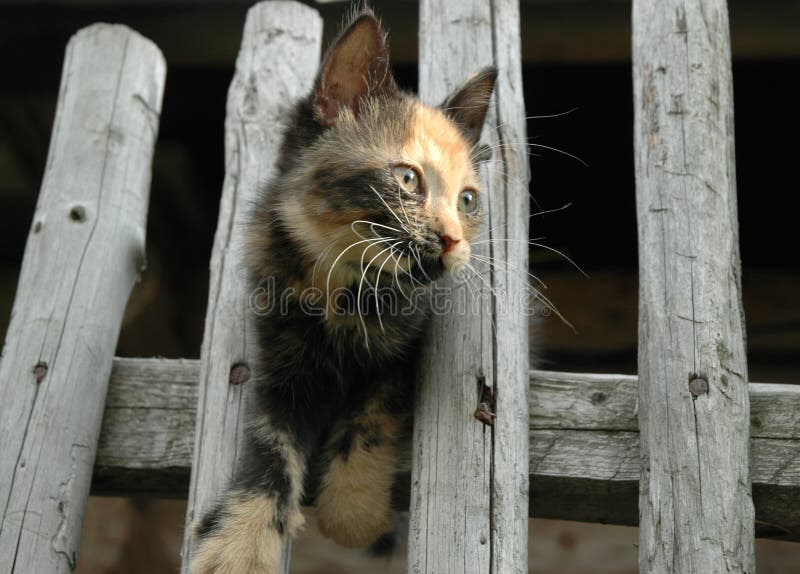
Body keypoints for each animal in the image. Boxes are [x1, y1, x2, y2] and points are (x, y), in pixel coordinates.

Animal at [191, 9, 496, 574]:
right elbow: (270, 445)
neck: (348, 290)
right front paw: (239, 545)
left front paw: (352, 511)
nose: (453, 240)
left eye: (467, 200)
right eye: (408, 179)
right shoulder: (281, 357)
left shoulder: (405, 351)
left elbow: (371, 416)